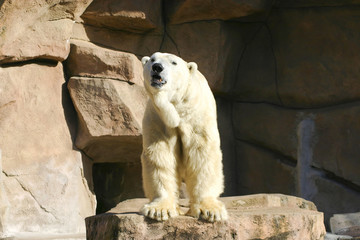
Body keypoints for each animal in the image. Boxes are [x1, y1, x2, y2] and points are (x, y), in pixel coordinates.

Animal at [139, 52, 226, 221]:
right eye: (152, 59)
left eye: (174, 62)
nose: (157, 67)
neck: (177, 107)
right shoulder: (158, 119)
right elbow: (161, 156)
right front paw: (159, 210)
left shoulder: (197, 117)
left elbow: (202, 154)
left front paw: (210, 210)